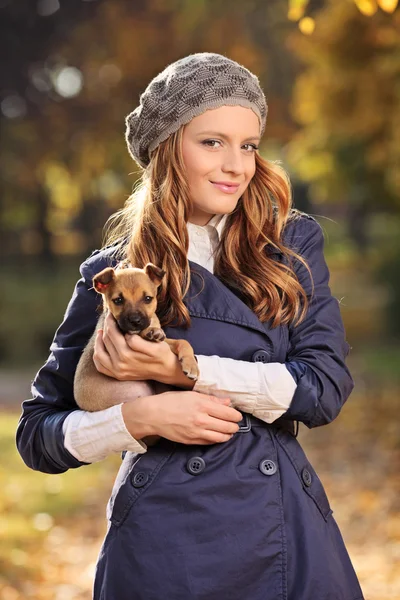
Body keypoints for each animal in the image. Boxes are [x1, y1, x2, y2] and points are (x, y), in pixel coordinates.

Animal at [73, 262, 198, 418]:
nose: (135, 321)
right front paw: (151, 332)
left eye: (148, 299)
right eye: (118, 300)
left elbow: (183, 342)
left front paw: (192, 365)